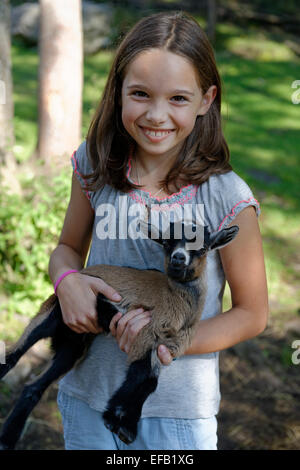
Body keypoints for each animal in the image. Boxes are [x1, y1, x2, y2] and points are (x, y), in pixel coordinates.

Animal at [0, 222, 239, 450]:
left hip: (73, 344)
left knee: (33, 387)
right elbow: (140, 376)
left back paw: (8, 438)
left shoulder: (164, 347)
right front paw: (113, 418)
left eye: (203, 247)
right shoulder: (144, 333)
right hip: (57, 312)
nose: (178, 258)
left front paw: (126, 427)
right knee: (14, 353)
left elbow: (149, 383)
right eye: (166, 242)